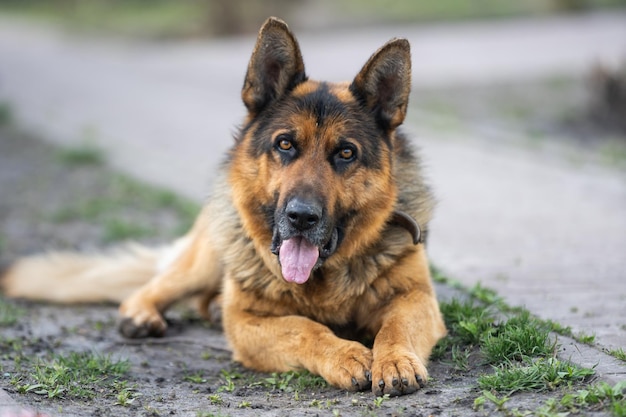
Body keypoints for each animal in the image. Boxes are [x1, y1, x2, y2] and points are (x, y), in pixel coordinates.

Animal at [2, 17, 446, 396]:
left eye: (346, 153)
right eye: (285, 144)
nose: (301, 217)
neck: (323, 280)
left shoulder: (417, 298)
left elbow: (395, 327)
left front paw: (396, 360)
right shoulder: (247, 323)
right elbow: (303, 328)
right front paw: (347, 354)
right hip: (207, 259)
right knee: (157, 285)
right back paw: (143, 313)